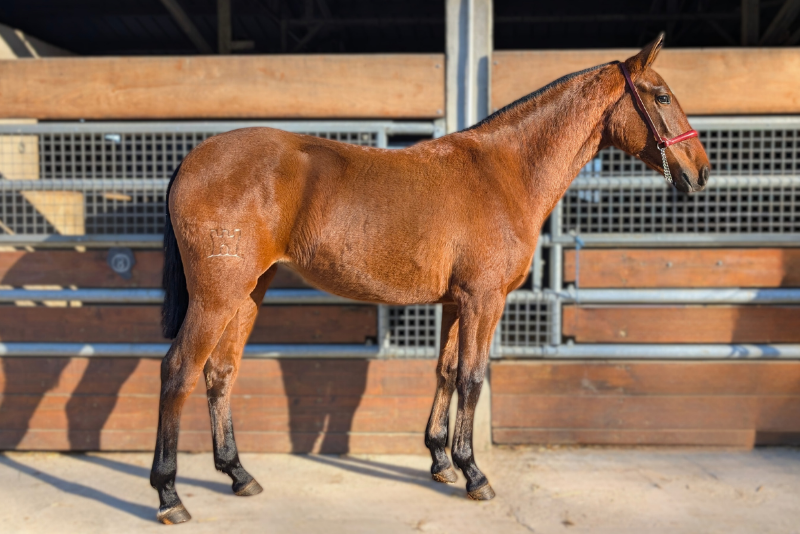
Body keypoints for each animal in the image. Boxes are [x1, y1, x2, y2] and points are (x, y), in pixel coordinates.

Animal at [150, 33, 710, 524]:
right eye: (662, 95)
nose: (702, 172)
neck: (505, 171)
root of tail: (192, 159)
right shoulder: (484, 299)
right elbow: (473, 377)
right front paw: (474, 474)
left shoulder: (456, 302)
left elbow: (445, 370)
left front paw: (441, 462)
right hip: (216, 296)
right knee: (178, 371)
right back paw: (170, 496)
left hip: (247, 293)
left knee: (220, 372)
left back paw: (239, 475)